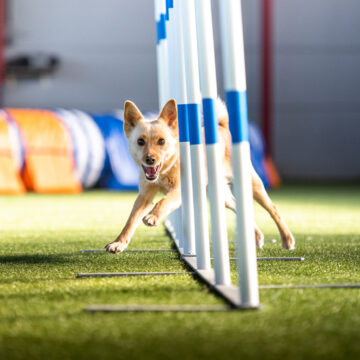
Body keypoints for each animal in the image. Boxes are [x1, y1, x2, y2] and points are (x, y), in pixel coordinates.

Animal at [105, 98, 296, 253]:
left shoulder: (179, 190)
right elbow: (131, 221)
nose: (150, 159)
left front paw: (152, 216)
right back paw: (257, 236)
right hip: (221, 194)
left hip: (252, 183)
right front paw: (118, 243)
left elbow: (163, 201)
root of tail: (222, 126)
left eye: (161, 141)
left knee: (274, 209)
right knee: (239, 206)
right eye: (140, 141)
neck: (167, 168)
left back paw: (287, 240)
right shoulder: (144, 196)